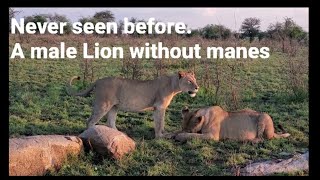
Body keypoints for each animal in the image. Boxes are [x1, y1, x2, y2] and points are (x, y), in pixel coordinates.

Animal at [66, 71, 199, 139]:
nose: (197, 87)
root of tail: (98, 80)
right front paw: (160, 137)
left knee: (110, 122)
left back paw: (121, 134)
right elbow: (159, 123)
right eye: (189, 81)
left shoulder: (159, 108)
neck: (173, 85)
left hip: (114, 107)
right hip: (103, 105)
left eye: (195, 80)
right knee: (90, 121)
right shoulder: (159, 107)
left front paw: (162, 134)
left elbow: (160, 122)